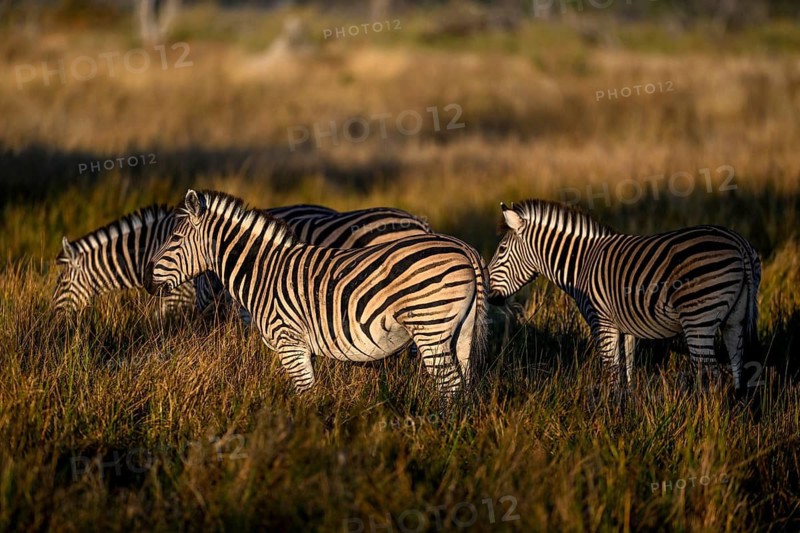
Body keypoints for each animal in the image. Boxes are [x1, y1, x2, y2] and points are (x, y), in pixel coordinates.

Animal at [144, 189, 487, 398]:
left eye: (174, 239)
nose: (147, 281)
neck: (262, 272)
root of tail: (465, 248)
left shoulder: (290, 343)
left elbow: (305, 396)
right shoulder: (304, 348)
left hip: (430, 325)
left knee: (449, 385)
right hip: (462, 330)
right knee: (464, 384)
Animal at [486, 199, 761, 396]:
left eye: (501, 250)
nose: (488, 296)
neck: (582, 263)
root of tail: (740, 244)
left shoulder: (602, 322)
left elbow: (611, 371)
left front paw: (609, 415)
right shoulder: (625, 326)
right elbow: (626, 370)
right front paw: (626, 408)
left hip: (698, 319)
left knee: (711, 378)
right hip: (735, 320)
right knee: (738, 371)